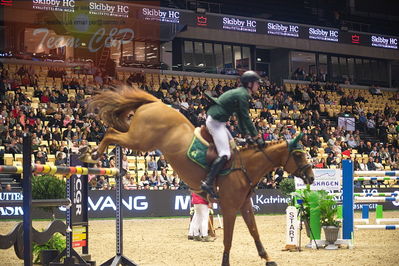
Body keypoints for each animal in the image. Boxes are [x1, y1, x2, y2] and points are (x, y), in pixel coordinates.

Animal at [79, 86, 314, 264]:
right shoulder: (229, 208)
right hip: (140, 140)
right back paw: (92, 153)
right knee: (111, 133)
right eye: (299, 155)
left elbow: (255, 232)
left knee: (113, 132)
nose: (311, 178)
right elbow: (228, 239)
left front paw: (268, 258)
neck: (244, 167)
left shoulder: (245, 206)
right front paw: (226, 262)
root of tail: (156, 102)